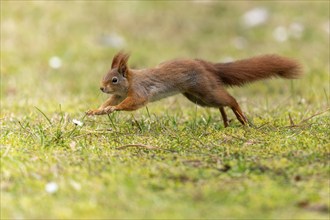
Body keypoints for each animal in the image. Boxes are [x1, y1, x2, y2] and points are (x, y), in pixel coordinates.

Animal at [85, 52, 302, 127]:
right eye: (105, 76)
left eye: (114, 79)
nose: (101, 88)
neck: (129, 82)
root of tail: (206, 66)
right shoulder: (118, 95)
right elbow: (110, 101)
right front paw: (97, 110)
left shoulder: (139, 91)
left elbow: (132, 103)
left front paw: (114, 109)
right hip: (198, 97)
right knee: (221, 103)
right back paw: (226, 121)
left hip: (204, 89)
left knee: (230, 99)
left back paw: (241, 118)